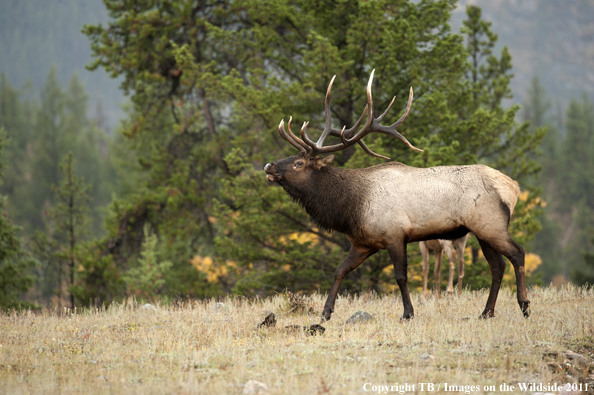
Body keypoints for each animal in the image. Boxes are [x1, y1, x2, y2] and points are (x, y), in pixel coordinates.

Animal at [264, 69, 528, 320]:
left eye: (298, 163)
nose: (269, 166)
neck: (351, 208)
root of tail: (513, 187)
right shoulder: (363, 243)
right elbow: (340, 270)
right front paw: (326, 312)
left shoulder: (395, 235)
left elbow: (401, 277)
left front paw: (408, 313)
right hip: (482, 231)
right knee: (498, 266)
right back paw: (486, 312)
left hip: (490, 225)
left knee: (517, 253)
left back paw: (524, 304)